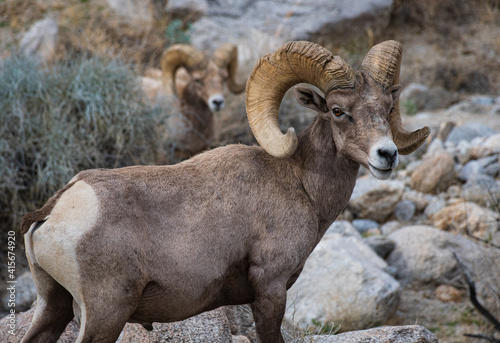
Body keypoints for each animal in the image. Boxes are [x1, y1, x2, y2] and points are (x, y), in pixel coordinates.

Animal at [19, 41, 426, 343]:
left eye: (388, 107)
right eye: (339, 110)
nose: (387, 154)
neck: (300, 184)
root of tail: (56, 209)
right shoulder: (270, 290)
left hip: (53, 307)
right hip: (104, 315)